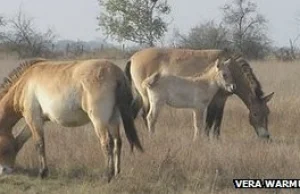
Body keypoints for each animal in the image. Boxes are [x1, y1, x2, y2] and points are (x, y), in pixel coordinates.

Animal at [0, 58, 143, 182]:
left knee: (107, 143)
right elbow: (23, 141)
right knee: (118, 141)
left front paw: (43, 173)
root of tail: (117, 74)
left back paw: (107, 176)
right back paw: (116, 173)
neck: (25, 83)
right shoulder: (40, 119)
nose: (5, 170)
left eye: (4, 149)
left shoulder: (32, 117)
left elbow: (39, 144)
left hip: (99, 120)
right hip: (113, 118)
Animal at [124, 47, 274, 139]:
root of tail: (133, 57)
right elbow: (211, 121)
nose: (266, 136)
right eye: (255, 113)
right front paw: (210, 139)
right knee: (146, 115)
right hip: (146, 97)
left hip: (140, 96)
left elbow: (217, 120)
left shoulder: (221, 100)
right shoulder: (215, 100)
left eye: (267, 113)